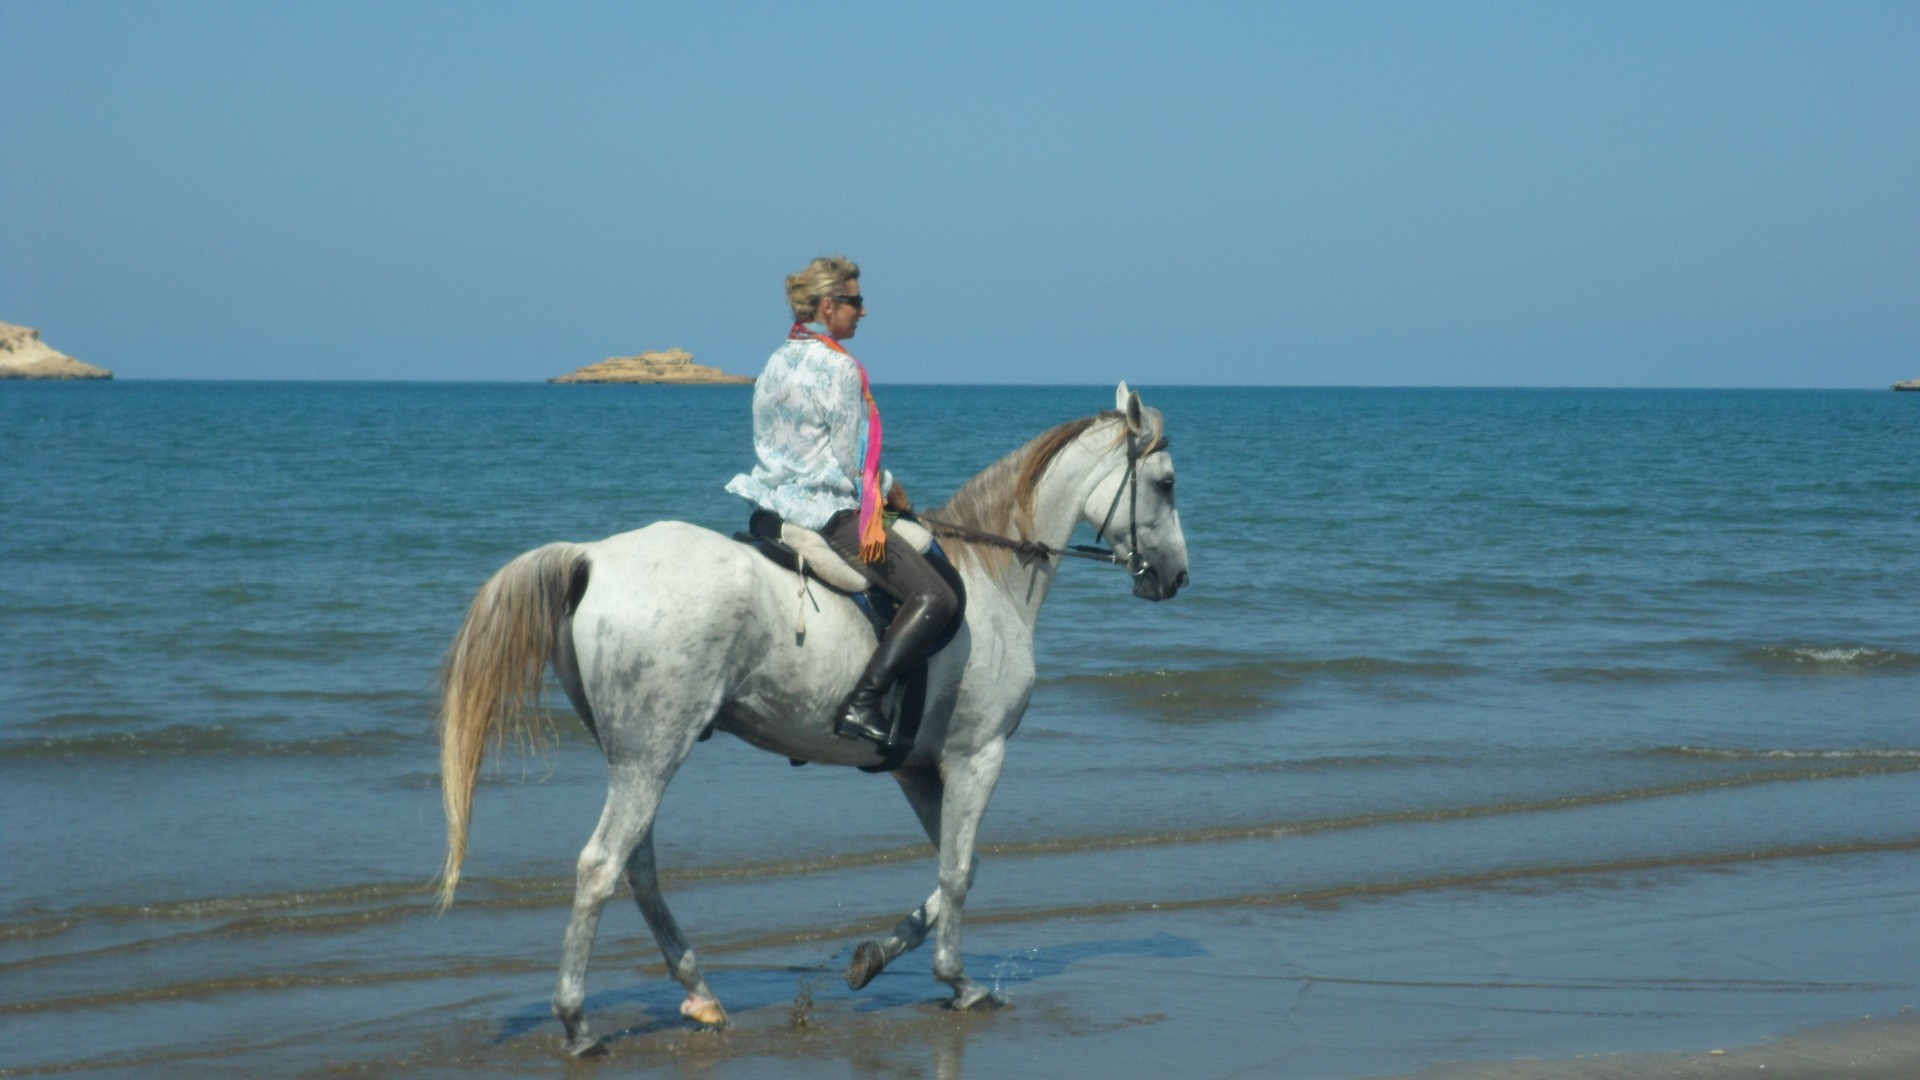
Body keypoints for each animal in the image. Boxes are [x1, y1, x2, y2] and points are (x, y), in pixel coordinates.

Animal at [435, 383, 1189, 1056]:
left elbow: (957, 864)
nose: (1175, 577)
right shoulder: (977, 755)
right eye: (1167, 483)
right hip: (653, 752)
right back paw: (578, 1024)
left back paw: (701, 995)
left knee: (637, 868)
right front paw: (959, 982)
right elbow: (959, 872)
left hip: (634, 753)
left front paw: (872, 958)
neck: (992, 577)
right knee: (600, 866)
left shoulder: (918, 768)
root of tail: (594, 557)